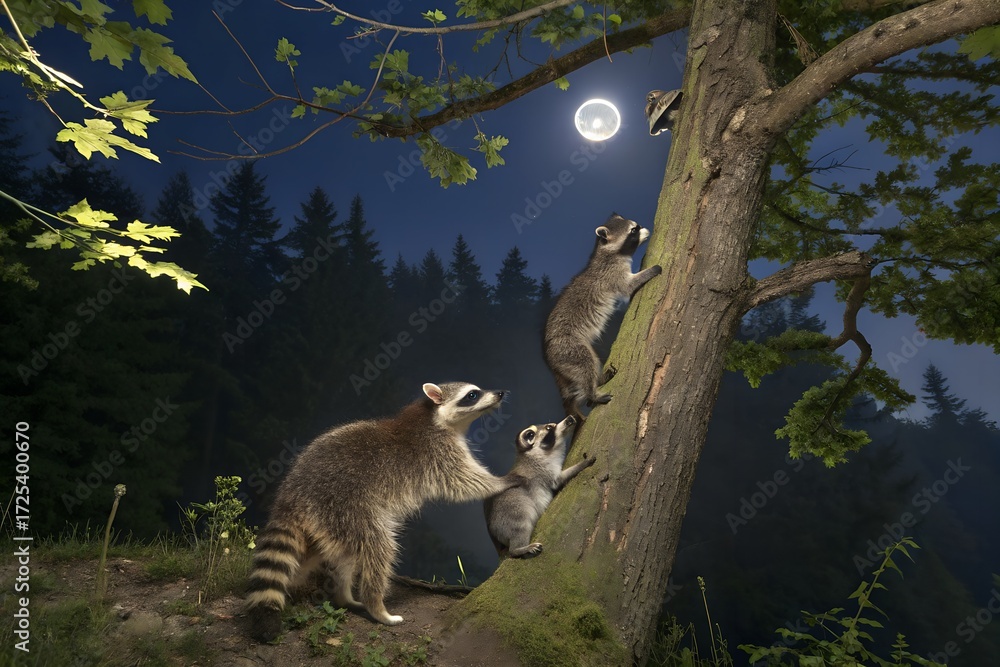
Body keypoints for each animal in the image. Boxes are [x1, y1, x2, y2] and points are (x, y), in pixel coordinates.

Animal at [246, 382, 512, 641]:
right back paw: (375, 605)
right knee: (377, 547)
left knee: (339, 556)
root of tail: (290, 493)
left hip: (325, 521)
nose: (500, 393)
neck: (434, 416)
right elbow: (461, 481)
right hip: (343, 504)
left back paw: (341, 594)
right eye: (472, 395)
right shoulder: (435, 452)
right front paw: (500, 481)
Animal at [484, 415, 595, 558]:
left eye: (551, 425)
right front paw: (583, 464)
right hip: (510, 514)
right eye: (549, 428)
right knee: (521, 525)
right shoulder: (542, 471)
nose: (569, 418)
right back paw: (518, 549)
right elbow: (558, 480)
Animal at [543, 214, 661, 421]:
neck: (604, 253)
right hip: (569, 349)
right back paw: (592, 393)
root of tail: (550, 360)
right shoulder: (612, 274)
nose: (647, 230)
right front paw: (651, 270)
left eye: (636, 226)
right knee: (586, 365)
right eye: (633, 230)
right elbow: (628, 286)